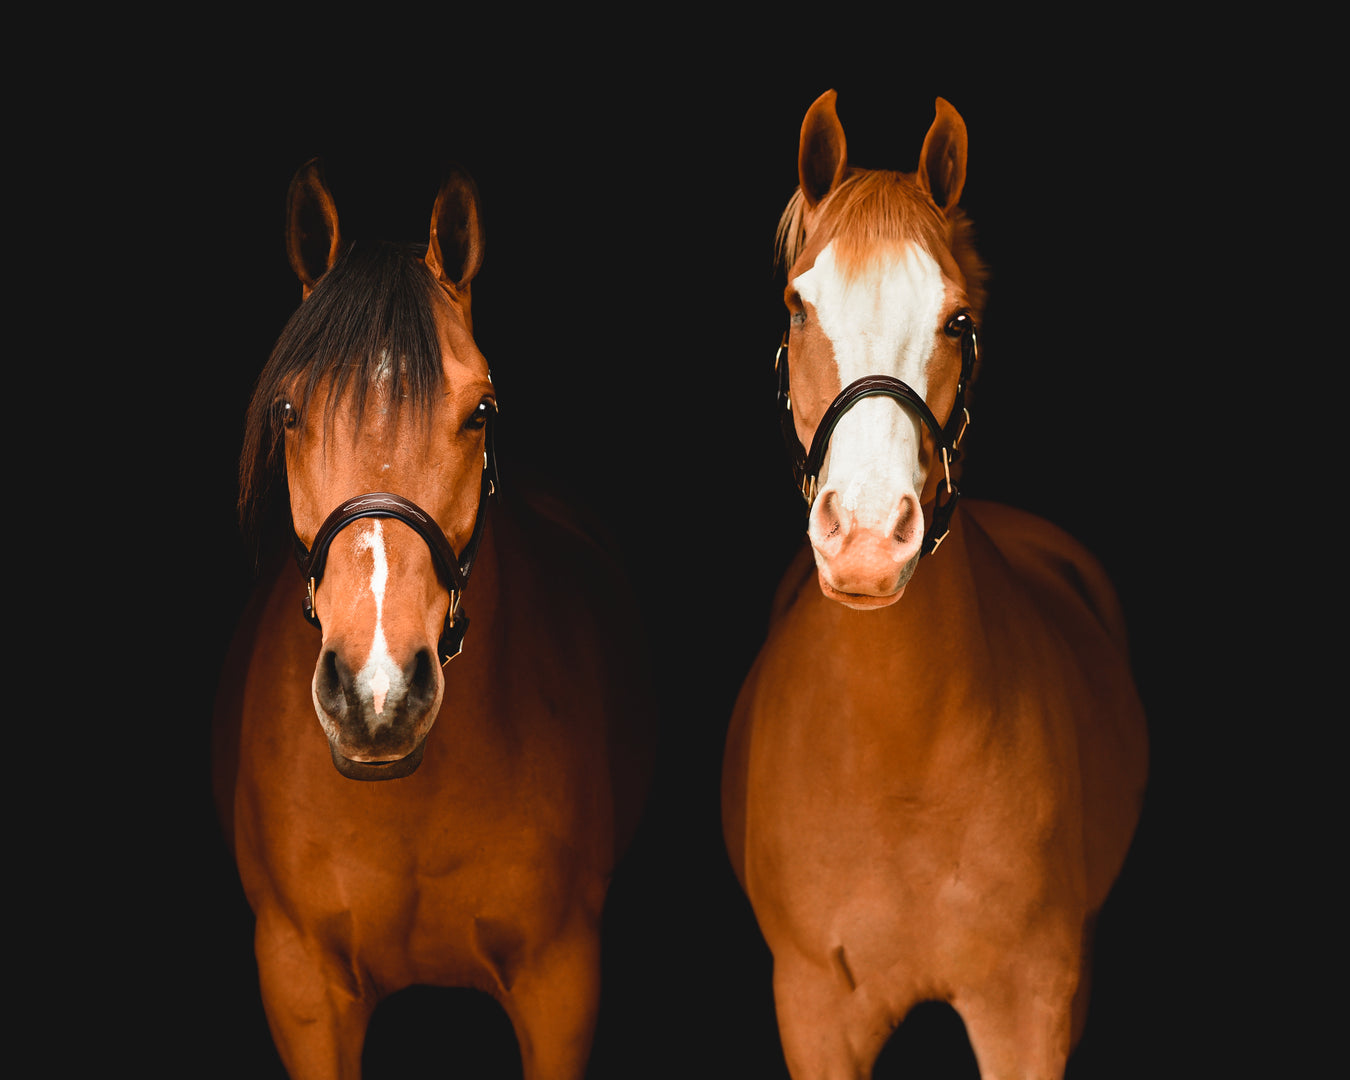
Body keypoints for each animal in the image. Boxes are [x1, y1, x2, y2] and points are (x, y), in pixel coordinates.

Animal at [721, 92, 1148, 1079]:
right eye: (799, 306)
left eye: (957, 321)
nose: (868, 541)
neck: (902, 755)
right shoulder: (813, 1012)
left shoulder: (1028, 1009)